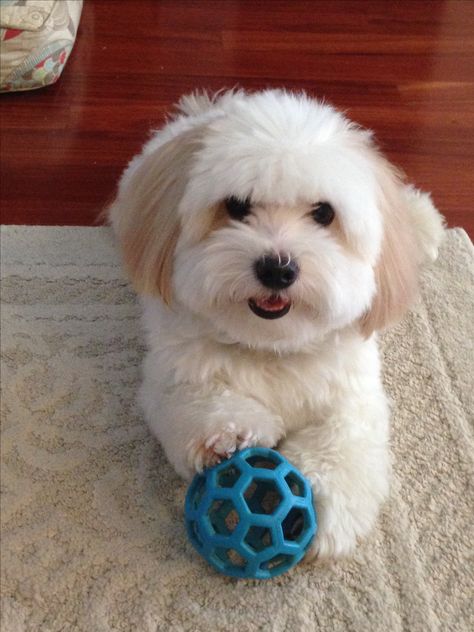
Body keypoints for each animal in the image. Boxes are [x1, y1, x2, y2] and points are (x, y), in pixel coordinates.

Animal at [109, 89, 446, 556]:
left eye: (323, 213)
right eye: (236, 206)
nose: (277, 269)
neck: (273, 346)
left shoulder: (352, 397)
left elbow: (341, 447)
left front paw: (325, 512)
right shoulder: (172, 377)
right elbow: (198, 404)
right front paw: (228, 436)